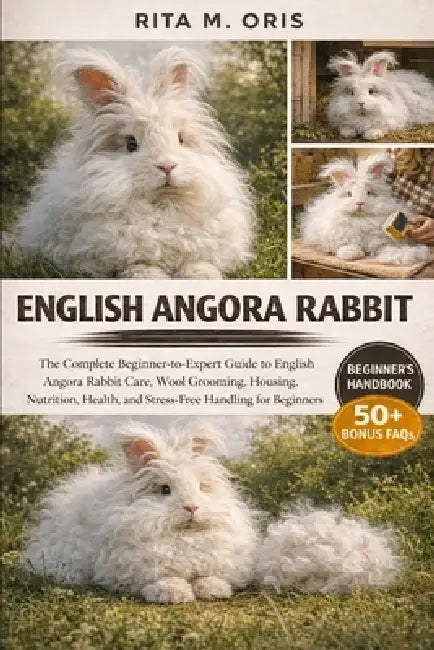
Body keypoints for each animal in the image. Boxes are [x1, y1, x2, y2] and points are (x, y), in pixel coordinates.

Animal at [13, 48, 256, 279]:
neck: (162, 205)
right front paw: (151, 278)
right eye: (131, 144)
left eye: (180, 139)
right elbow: (140, 267)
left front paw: (203, 276)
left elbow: (199, 263)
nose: (167, 166)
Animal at [21, 422, 259, 603]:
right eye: (165, 489)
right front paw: (173, 594)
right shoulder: (135, 568)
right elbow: (162, 578)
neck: (184, 536)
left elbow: (209, 576)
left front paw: (214, 590)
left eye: (201, 487)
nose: (192, 507)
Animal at [300, 153, 431, 265]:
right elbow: (346, 244)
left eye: (369, 193)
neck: (361, 219)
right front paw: (351, 254)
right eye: (349, 194)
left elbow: (383, 247)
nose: (359, 203)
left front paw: (398, 254)